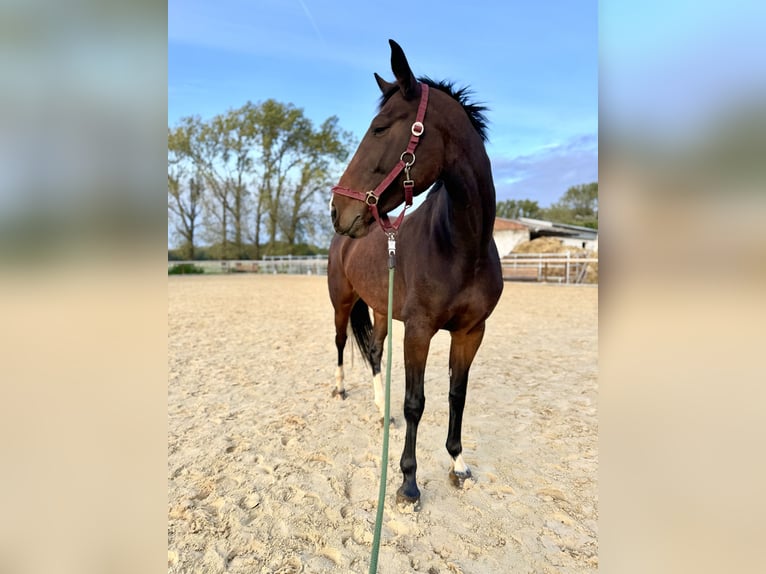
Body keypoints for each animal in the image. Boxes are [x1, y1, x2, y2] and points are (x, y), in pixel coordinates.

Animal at [327, 39, 503, 506]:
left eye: (380, 128)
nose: (337, 209)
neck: (461, 247)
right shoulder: (419, 330)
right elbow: (415, 403)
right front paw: (408, 482)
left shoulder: (471, 332)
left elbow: (457, 395)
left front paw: (458, 463)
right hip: (342, 303)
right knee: (340, 343)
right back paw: (340, 389)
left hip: (379, 309)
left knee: (373, 352)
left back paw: (378, 410)